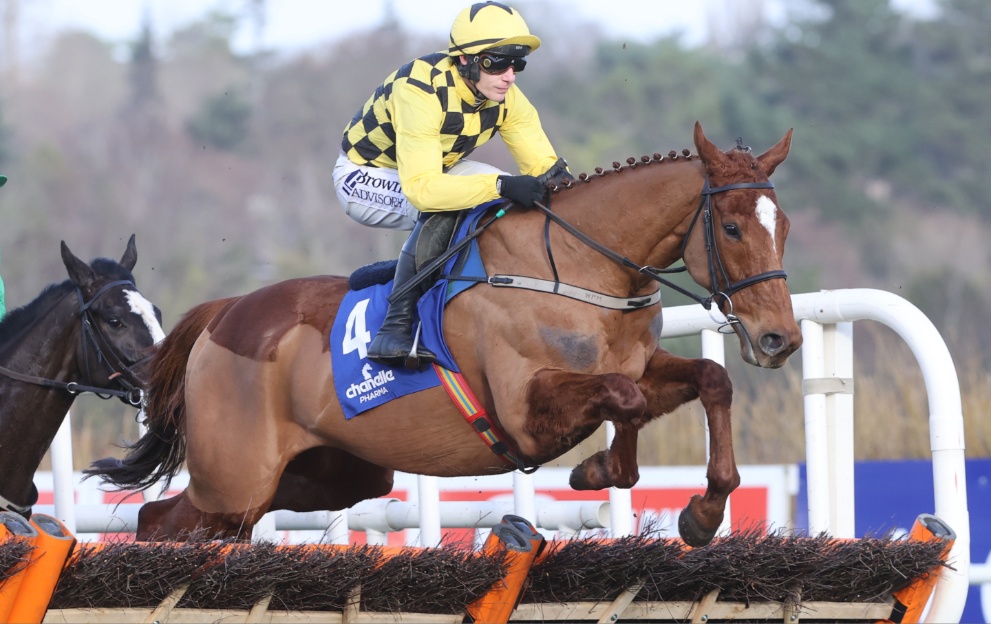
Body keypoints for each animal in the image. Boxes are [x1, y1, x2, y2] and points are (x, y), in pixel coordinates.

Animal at [89, 123, 804, 544]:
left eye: (785, 225)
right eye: (732, 228)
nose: (780, 339)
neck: (577, 267)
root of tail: (223, 315)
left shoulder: (638, 367)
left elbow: (708, 380)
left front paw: (702, 512)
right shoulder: (524, 410)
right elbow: (621, 404)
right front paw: (600, 468)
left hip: (327, 477)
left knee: (181, 521)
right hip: (235, 478)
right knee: (160, 520)